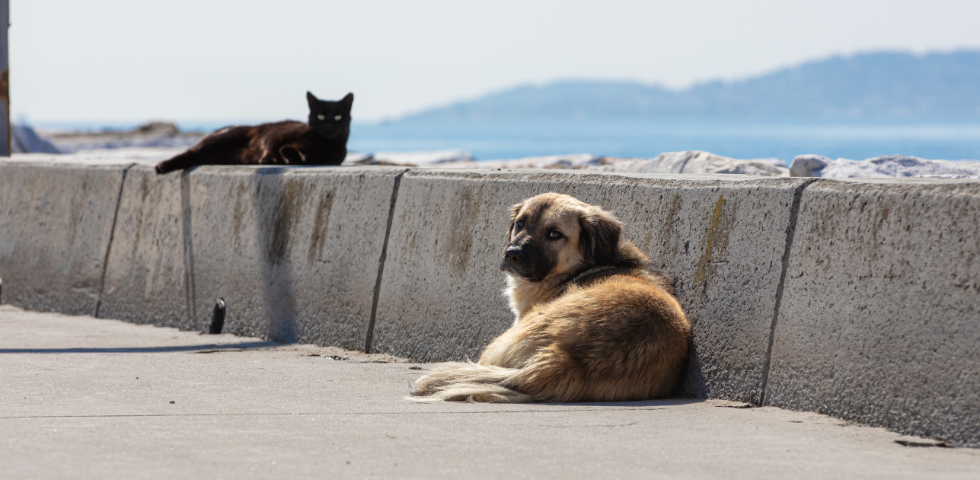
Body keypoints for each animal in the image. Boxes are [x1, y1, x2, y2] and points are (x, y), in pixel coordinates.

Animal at [153, 91, 352, 173]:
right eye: (320, 116)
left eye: (337, 117)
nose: (329, 125)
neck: (318, 141)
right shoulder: (278, 133)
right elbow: (273, 144)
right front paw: (269, 158)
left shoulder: (323, 156)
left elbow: (297, 156)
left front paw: (289, 153)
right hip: (221, 139)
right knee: (189, 153)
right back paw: (163, 165)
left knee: (193, 157)